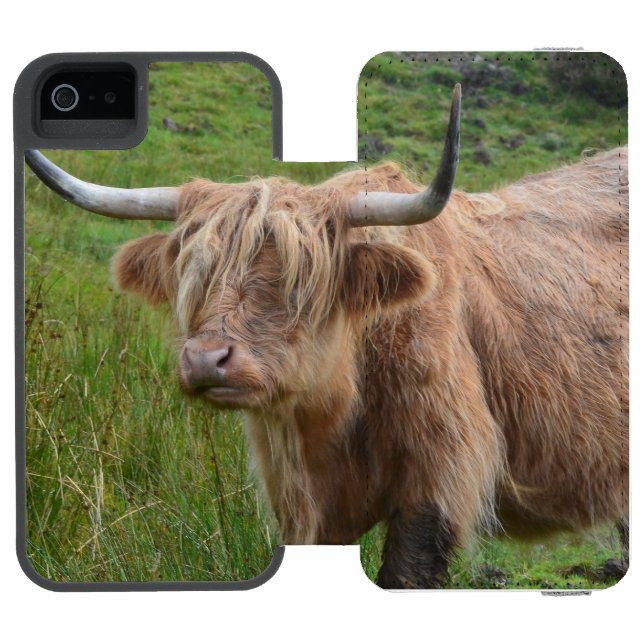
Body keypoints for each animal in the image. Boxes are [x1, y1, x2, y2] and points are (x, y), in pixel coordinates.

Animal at [25, 85, 629, 588]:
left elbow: (406, 571)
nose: (205, 360)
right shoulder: (298, 499)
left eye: (299, 281)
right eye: (195, 274)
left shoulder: (442, 474)